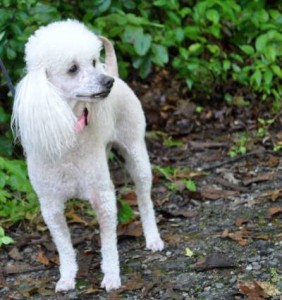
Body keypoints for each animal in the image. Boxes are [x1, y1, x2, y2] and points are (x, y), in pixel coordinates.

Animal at [12, 19, 164, 292]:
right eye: (73, 68)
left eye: (93, 61)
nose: (107, 82)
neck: (70, 131)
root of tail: (116, 72)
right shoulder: (50, 206)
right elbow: (64, 247)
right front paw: (67, 278)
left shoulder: (102, 196)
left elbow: (109, 244)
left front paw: (112, 277)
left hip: (136, 152)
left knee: (145, 199)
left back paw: (153, 237)